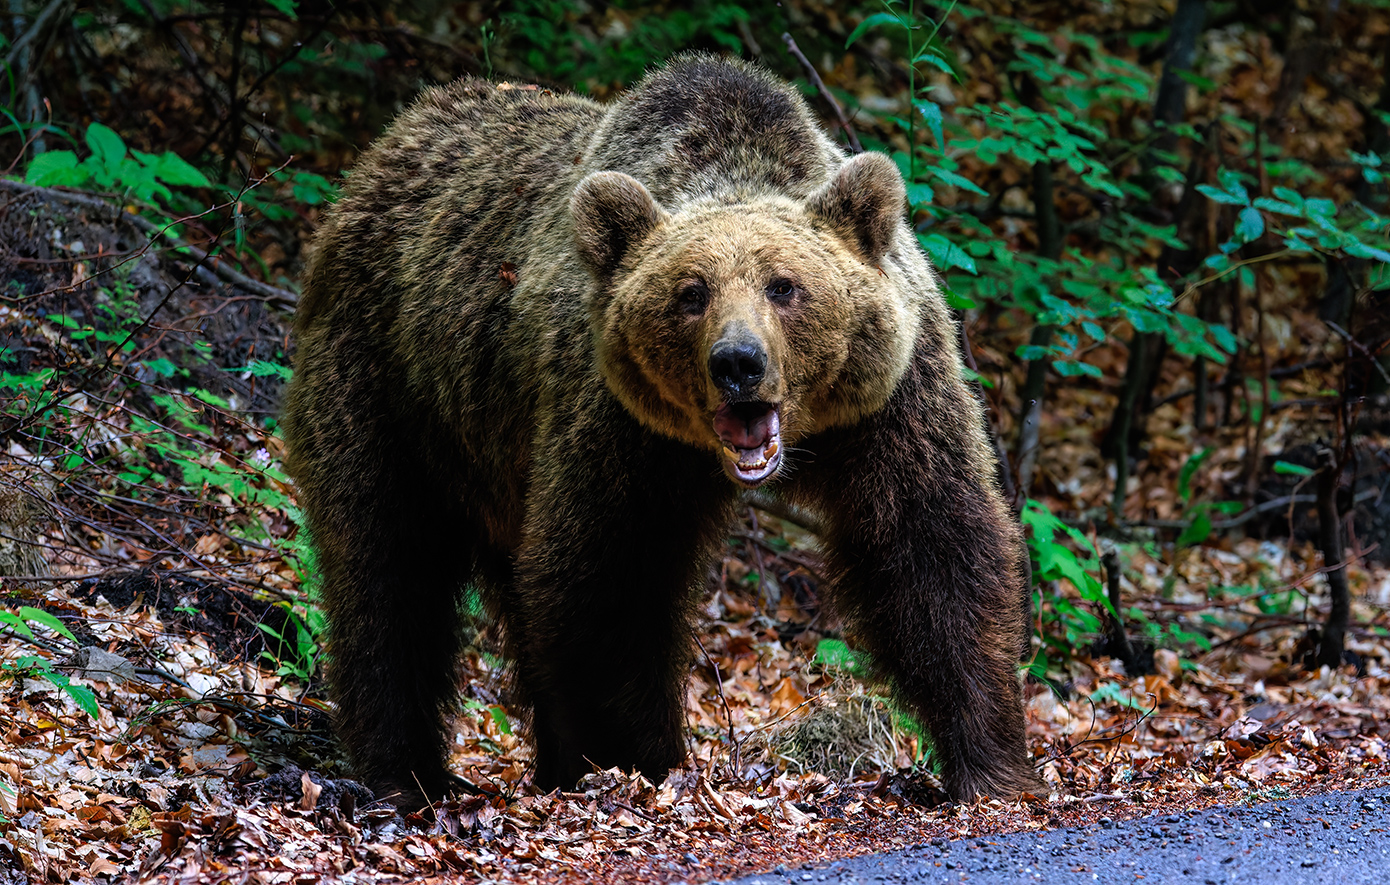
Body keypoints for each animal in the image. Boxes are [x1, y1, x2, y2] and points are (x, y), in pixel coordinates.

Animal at [282, 53, 1039, 805]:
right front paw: (641, 760)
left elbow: (932, 546)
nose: (738, 363)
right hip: (389, 388)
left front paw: (988, 761)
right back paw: (407, 771)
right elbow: (610, 577)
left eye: (784, 286)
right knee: (387, 566)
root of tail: (385, 149)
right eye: (691, 293)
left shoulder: (889, 402)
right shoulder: (620, 425)